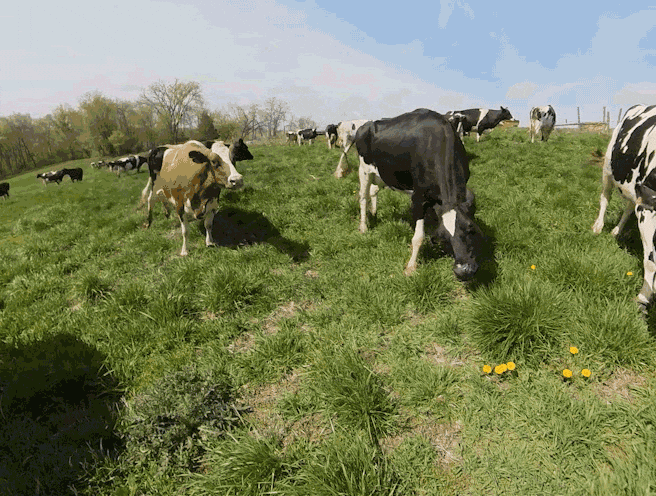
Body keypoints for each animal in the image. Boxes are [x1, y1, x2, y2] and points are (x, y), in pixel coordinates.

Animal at [354, 108, 484, 280]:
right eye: (444, 237)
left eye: (470, 228)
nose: (464, 270)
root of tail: (367, 124)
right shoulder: (418, 198)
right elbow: (418, 237)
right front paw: (411, 267)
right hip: (364, 170)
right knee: (363, 197)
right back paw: (363, 226)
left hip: (382, 174)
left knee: (373, 191)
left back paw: (374, 212)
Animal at [592, 104, 656, 314]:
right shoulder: (647, 209)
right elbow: (650, 263)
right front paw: (642, 299)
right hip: (608, 168)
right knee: (604, 198)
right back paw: (598, 227)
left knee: (628, 207)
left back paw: (616, 231)